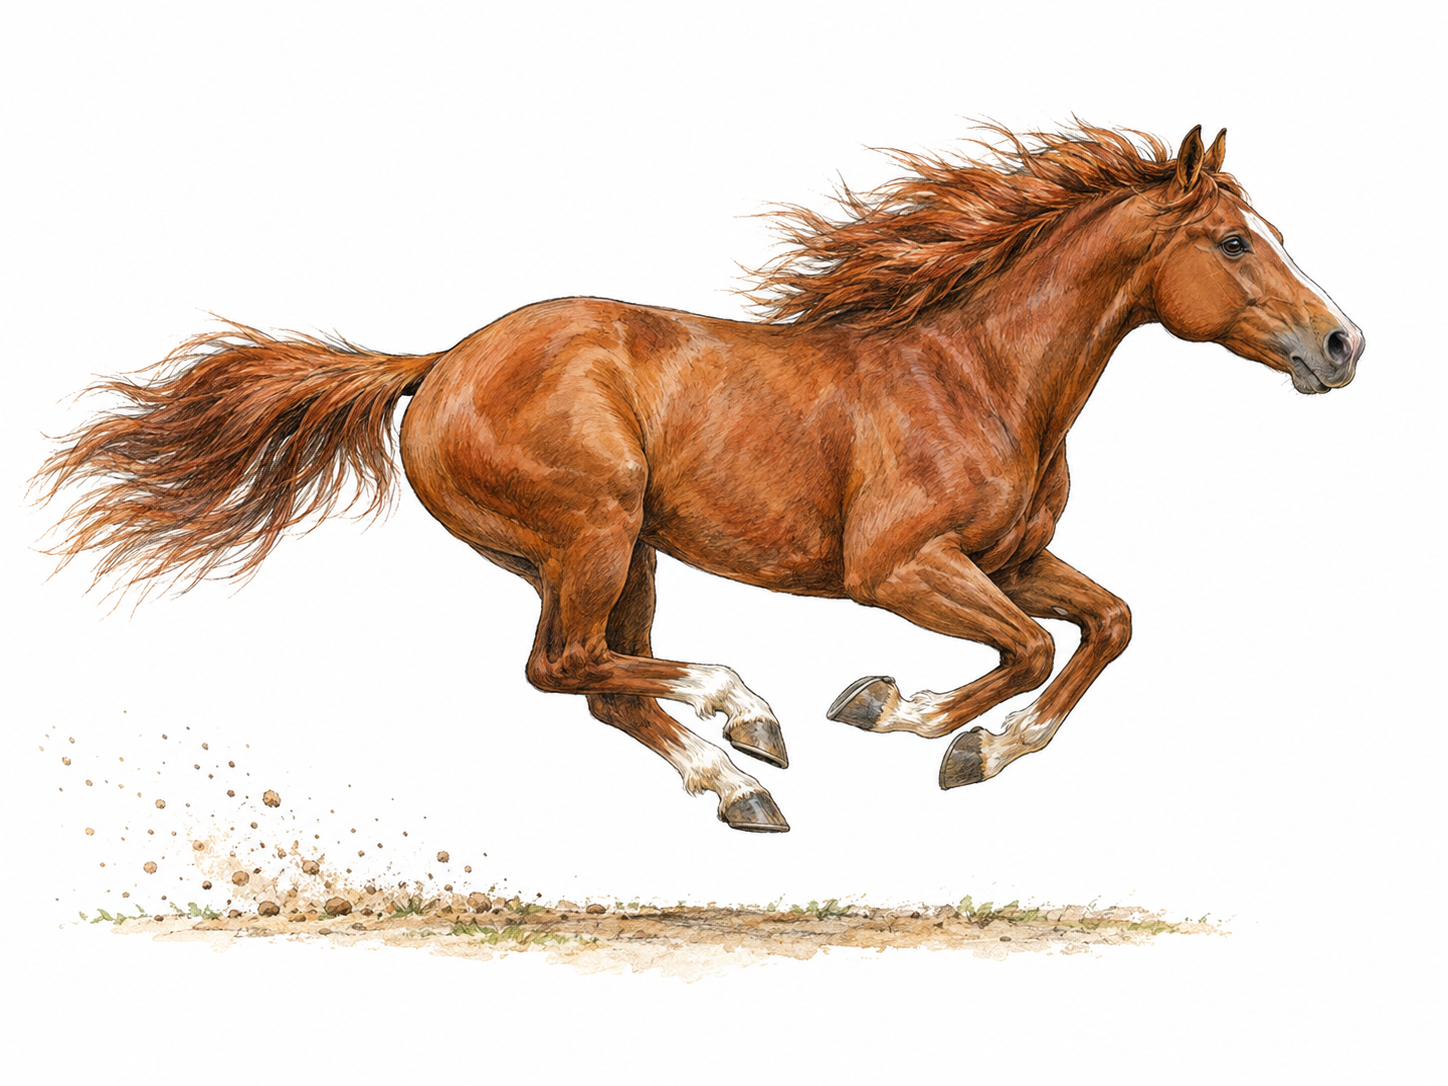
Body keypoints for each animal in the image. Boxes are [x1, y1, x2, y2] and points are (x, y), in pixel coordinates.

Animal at [36, 124, 1363, 833]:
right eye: (1234, 241)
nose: (1342, 344)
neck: (977, 373)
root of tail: (438, 362)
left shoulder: (1011, 558)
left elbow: (1108, 626)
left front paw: (976, 749)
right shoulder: (901, 569)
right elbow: (1029, 650)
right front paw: (896, 716)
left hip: (622, 556)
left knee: (594, 683)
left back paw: (738, 783)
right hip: (592, 530)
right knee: (565, 667)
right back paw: (750, 716)